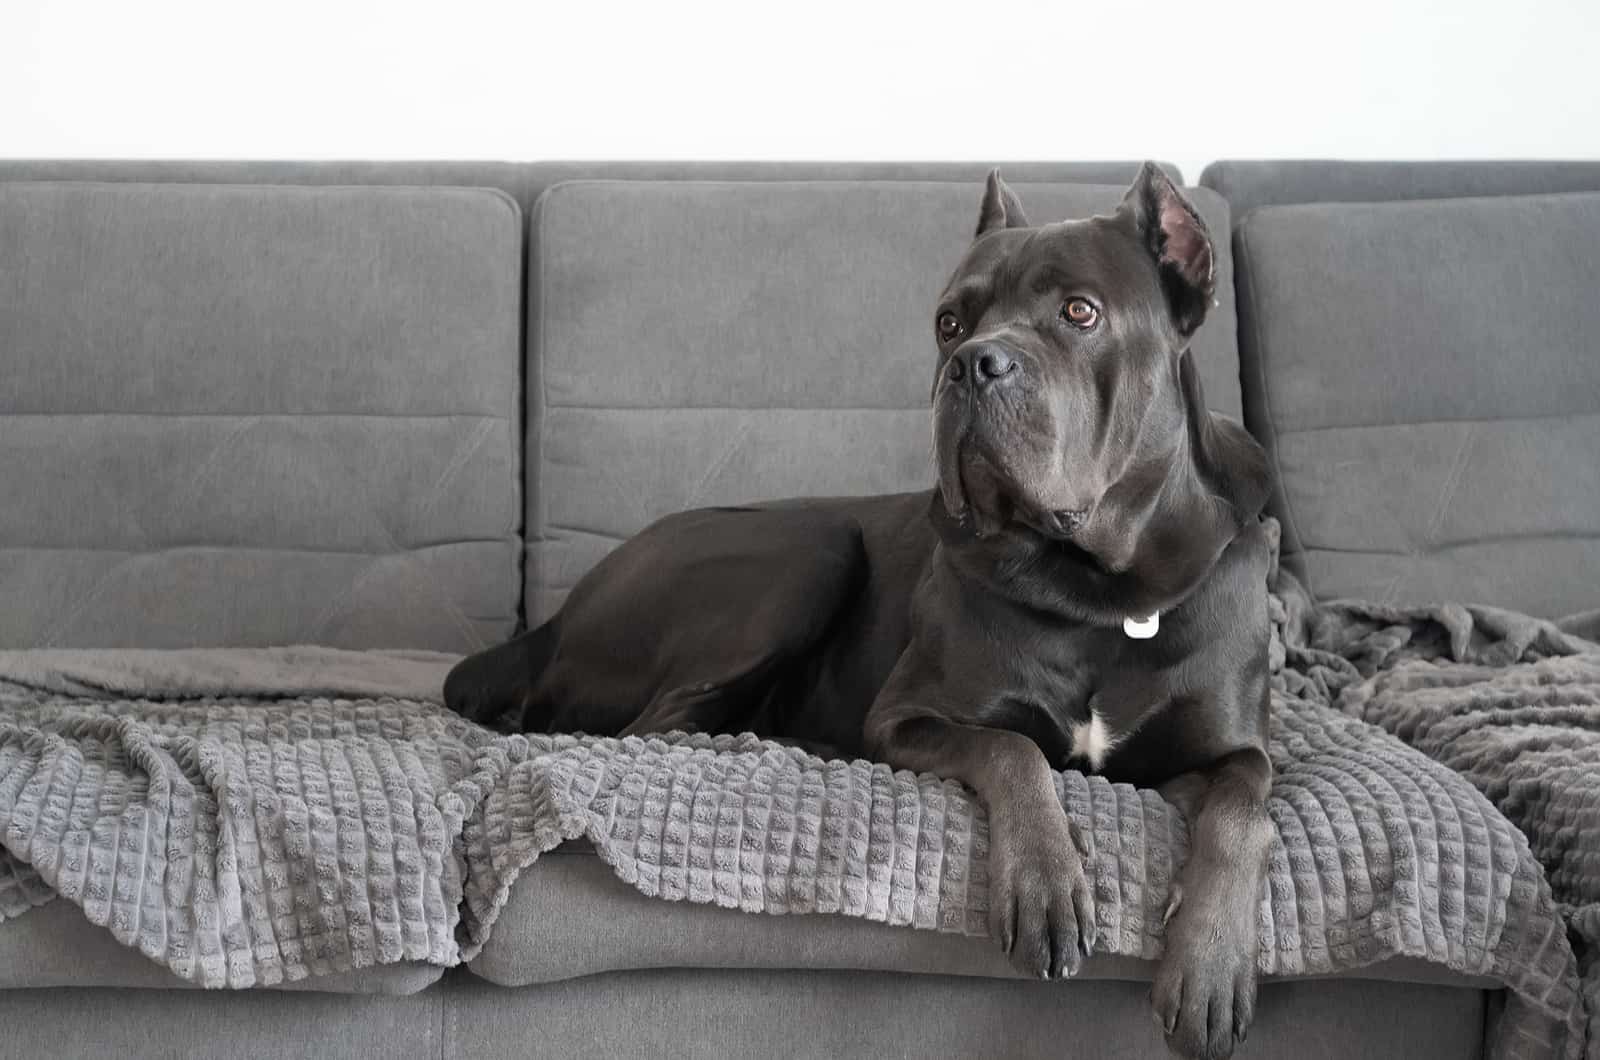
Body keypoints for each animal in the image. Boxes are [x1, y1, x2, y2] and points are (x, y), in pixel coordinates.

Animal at [448, 161, 1273, 1056]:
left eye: (1079, 312)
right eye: (950, 322)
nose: (973, 364)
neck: (1102, 588)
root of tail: (552, 623)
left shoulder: (1236, 746)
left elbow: (1245, 806)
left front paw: (1210, 967)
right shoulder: (910, 713)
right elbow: (1012, 750)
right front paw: (1047, 882)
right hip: (811, 546)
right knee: (658, 725)